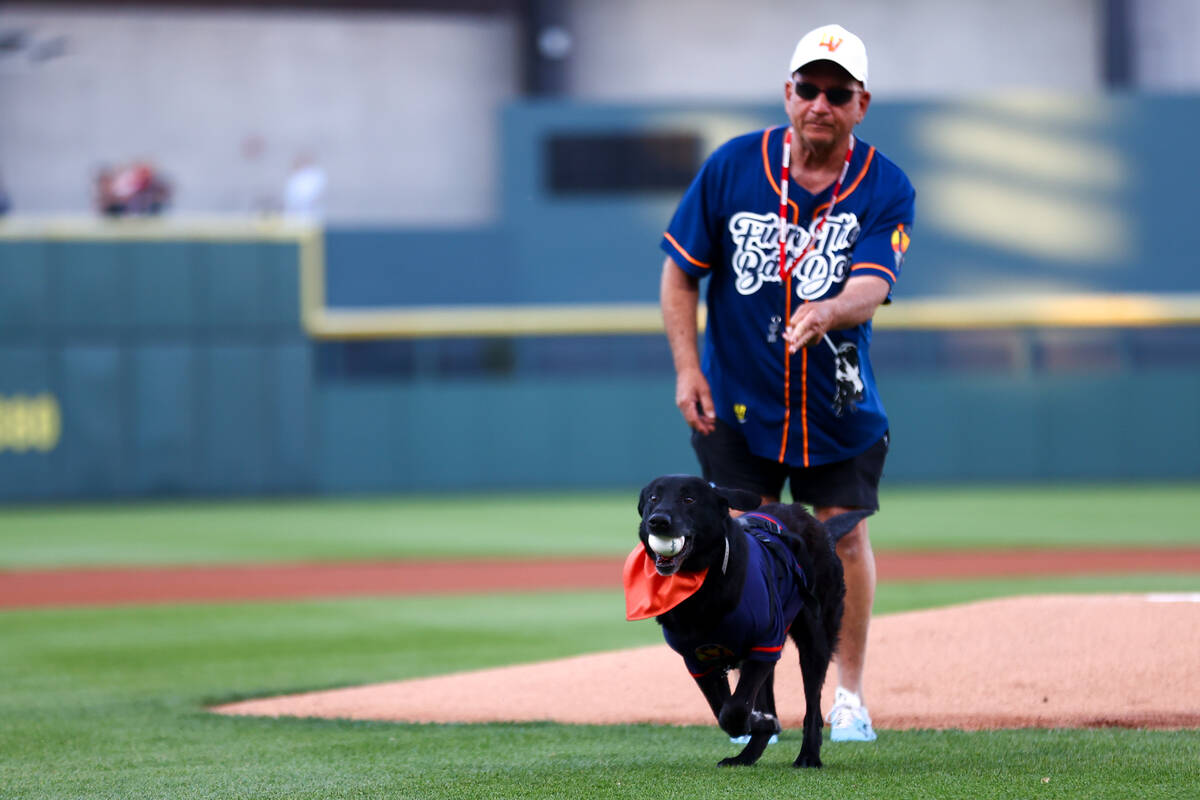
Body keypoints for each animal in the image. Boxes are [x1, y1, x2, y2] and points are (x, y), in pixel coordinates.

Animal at [628, 474, 864, 767]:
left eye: (689, 499)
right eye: (653, 498)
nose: (658, 521)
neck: (703, 586)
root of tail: (815, 523)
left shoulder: (765, 643)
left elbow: (736, 708)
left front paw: (760, 723)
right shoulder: (698, 660)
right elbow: (724, 710)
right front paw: (761, 724)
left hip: (815, 639)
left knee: (812, 706)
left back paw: (808, 756)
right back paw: (746, 755)